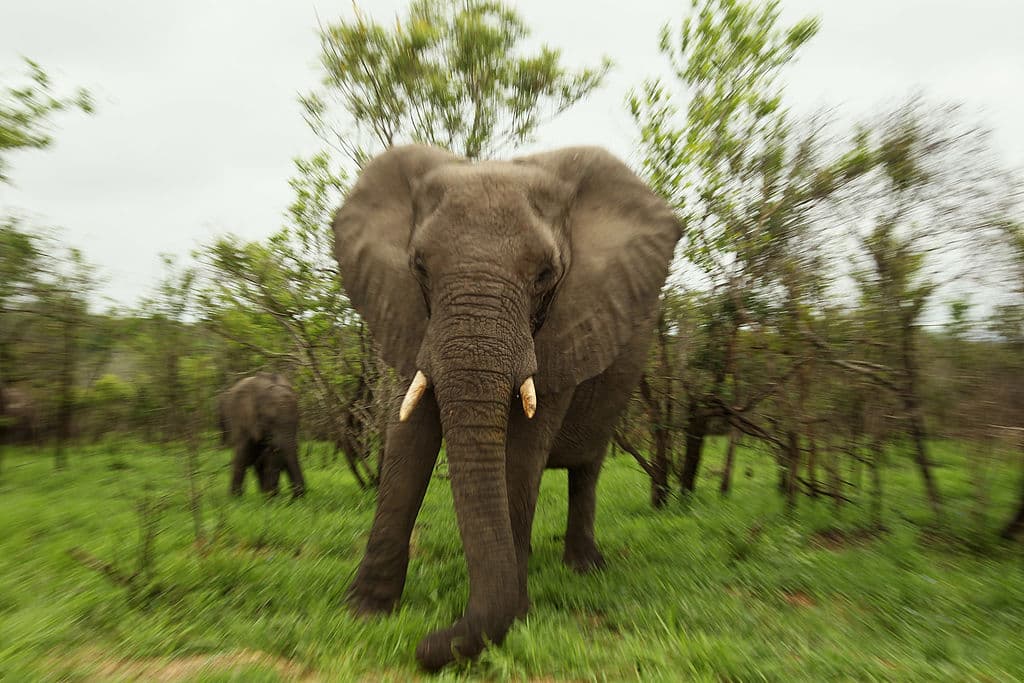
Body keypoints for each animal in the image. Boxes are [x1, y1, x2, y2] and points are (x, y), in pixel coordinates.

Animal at [332, 144, 681, 670]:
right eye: (419, 268)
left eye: (545, 275)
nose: (423, 645)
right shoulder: (411, 318)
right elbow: (406, 443)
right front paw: (363, 613)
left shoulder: (569, 327)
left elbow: (520, 453)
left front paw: (515, 619)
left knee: (587, 470)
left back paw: (584, 568)